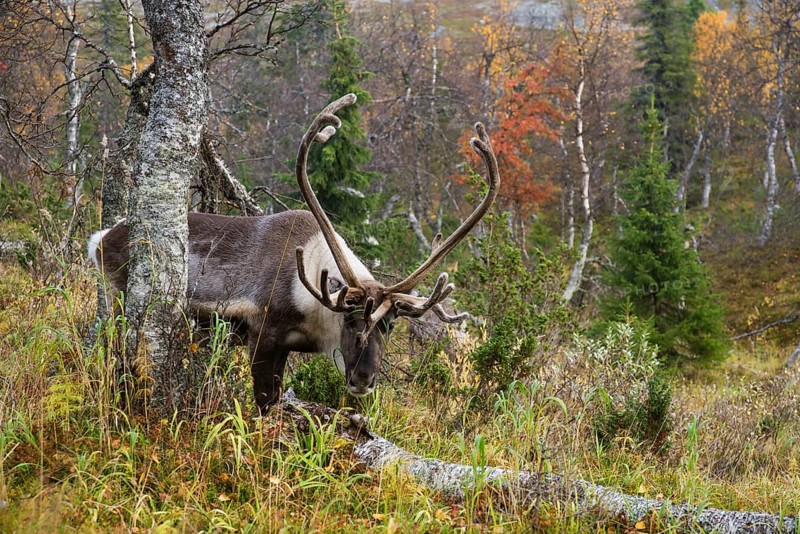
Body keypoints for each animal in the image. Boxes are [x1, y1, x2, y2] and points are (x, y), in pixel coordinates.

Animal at [88, 93, 499, 414]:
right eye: (351, 320)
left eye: (390, 325)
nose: (363, 379)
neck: (311, 300)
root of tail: (102, 238)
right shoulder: (262, 333)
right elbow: (264, 402)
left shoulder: (287, 346)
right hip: (122, 301)